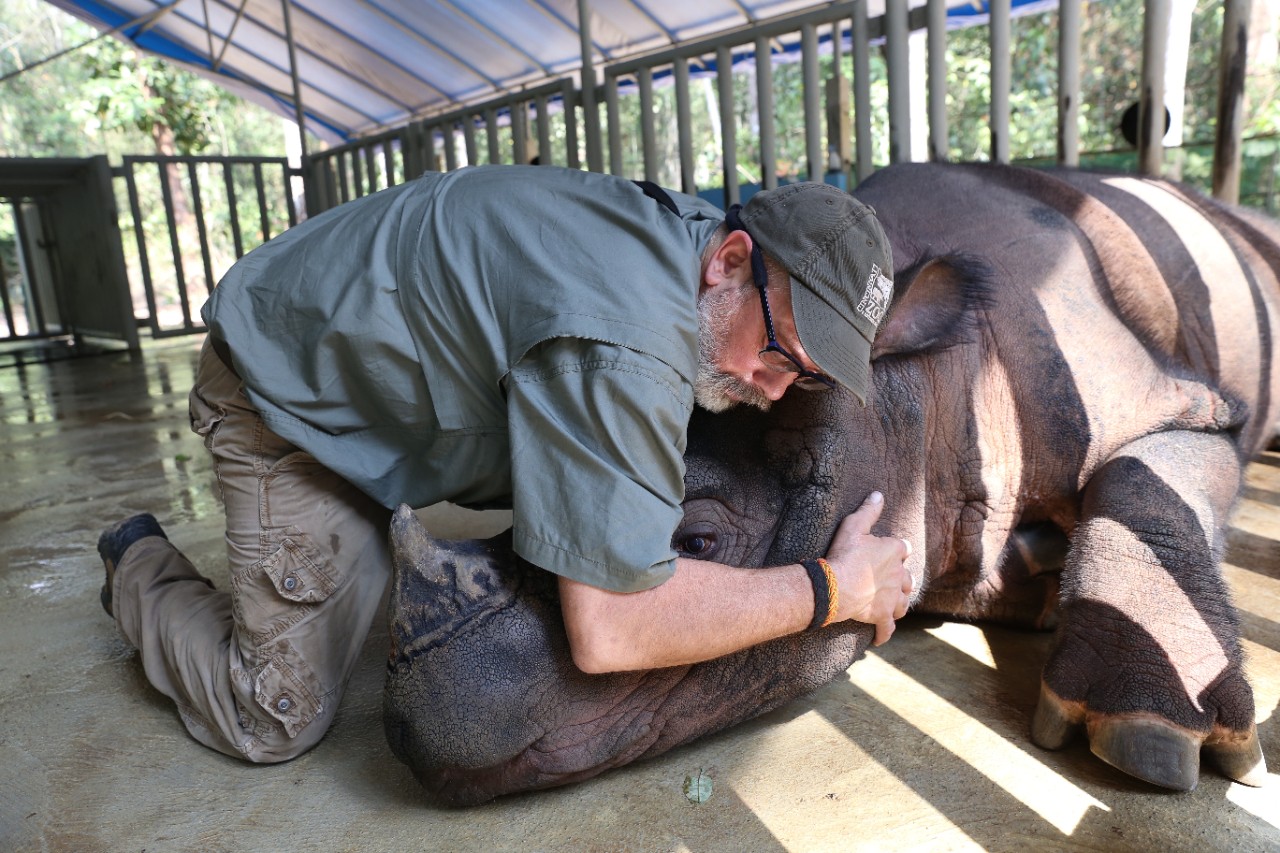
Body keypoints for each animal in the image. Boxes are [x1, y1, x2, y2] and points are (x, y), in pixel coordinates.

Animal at [384, 161, 1274, 804]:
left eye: (696, 541)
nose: (408, 705)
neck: (931, 384)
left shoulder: (1180, 401)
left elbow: (1149, 468)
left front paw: (1148, 733)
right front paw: (1027, 580)